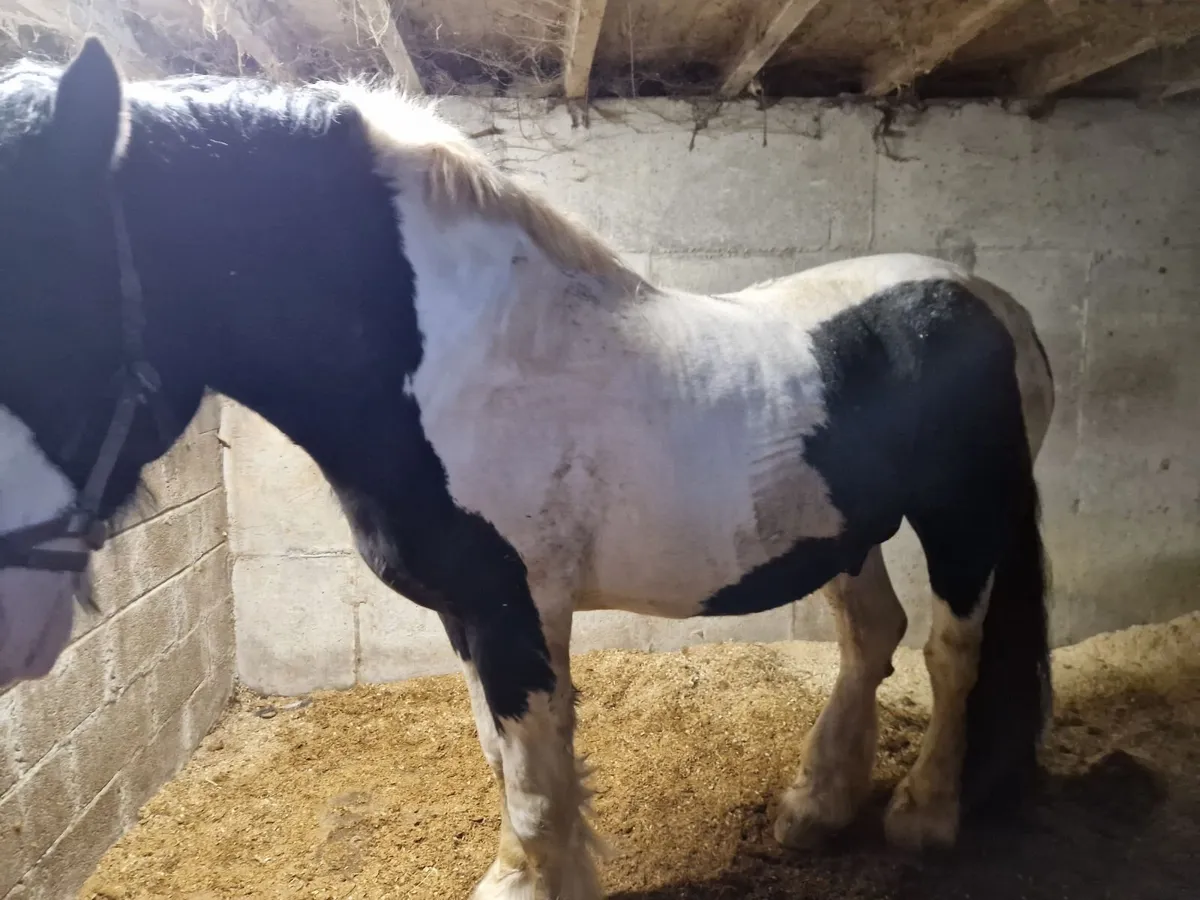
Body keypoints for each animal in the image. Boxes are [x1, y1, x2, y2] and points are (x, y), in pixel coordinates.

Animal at [0, 38, 1054, 900]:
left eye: (40, 309)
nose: (17, 631)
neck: (454, 360)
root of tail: (990, 297)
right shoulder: (470, 611)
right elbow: (507, 757)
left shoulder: (516, 605)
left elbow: (535, 770)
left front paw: (525, 883)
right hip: (846, 529)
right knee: (870, 638)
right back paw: (817, 807)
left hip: (964, 517)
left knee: (950, 651)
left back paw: (923, 816)